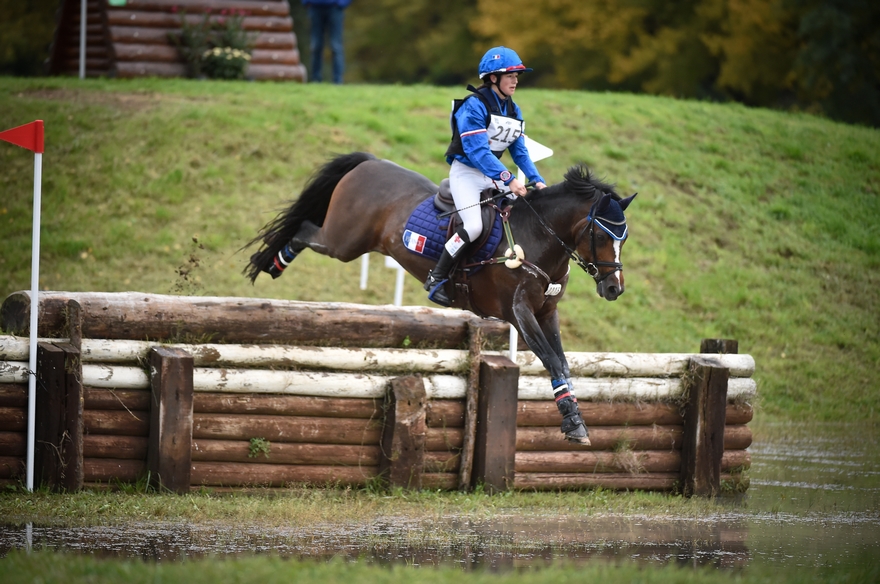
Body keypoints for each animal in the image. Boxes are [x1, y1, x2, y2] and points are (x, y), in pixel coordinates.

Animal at [244, 153, 636, 444]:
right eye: (603, 235)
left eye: (625, 238)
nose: (614, 288)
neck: (539, 238)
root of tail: (370, 162)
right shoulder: (518, 311)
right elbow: (552, 362)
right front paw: (573, 424)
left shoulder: (546, 312)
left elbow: (563, 364)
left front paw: (574, 417)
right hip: (343, 241)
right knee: (304, 229)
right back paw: (274, 262)